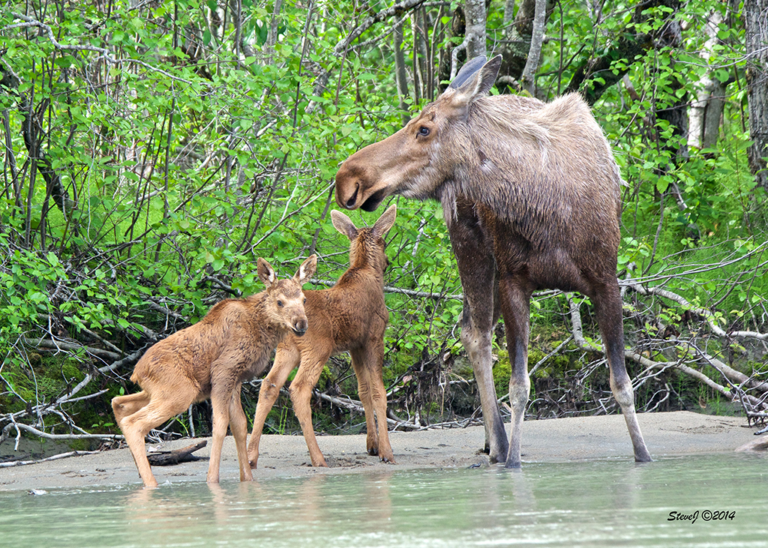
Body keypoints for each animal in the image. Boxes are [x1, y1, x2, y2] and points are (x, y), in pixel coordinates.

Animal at [112, 255, 317, 488]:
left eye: (304, 300)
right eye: (280, 301)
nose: (301, 324)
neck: (262, 330)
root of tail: (137, 372)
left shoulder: (236, 379)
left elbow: (240, 425)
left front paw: (247, 479)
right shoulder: (224, 370)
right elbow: (220, 425)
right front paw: (212, 480)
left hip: (155, 392)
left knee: (119, 403)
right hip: (181, 392)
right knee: (133, 423)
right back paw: (151, 483)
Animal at [247, 205, 397, 469]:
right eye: (385, 241)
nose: (387, 262)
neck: (367, 273)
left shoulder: (354, 344)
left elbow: (363, 391)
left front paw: (372, 445)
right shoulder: (373, 337)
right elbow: (379, 392)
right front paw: (386, 452)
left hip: (287, 350)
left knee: (269, 385)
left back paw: (251, 457)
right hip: (318, 347)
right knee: (299, 389)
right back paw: (318, 457)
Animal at [334, 55, 652, 468]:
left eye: (424, 128)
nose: (348, 177)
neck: (547, 209)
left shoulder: (606, 281)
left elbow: (622, 383)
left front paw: (643, 453)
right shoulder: (516, 279)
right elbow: (519, 385)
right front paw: (513, 459)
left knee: (471, 326)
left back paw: (492, 441)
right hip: (471, 246)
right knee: (476, 332)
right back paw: (499, 443)